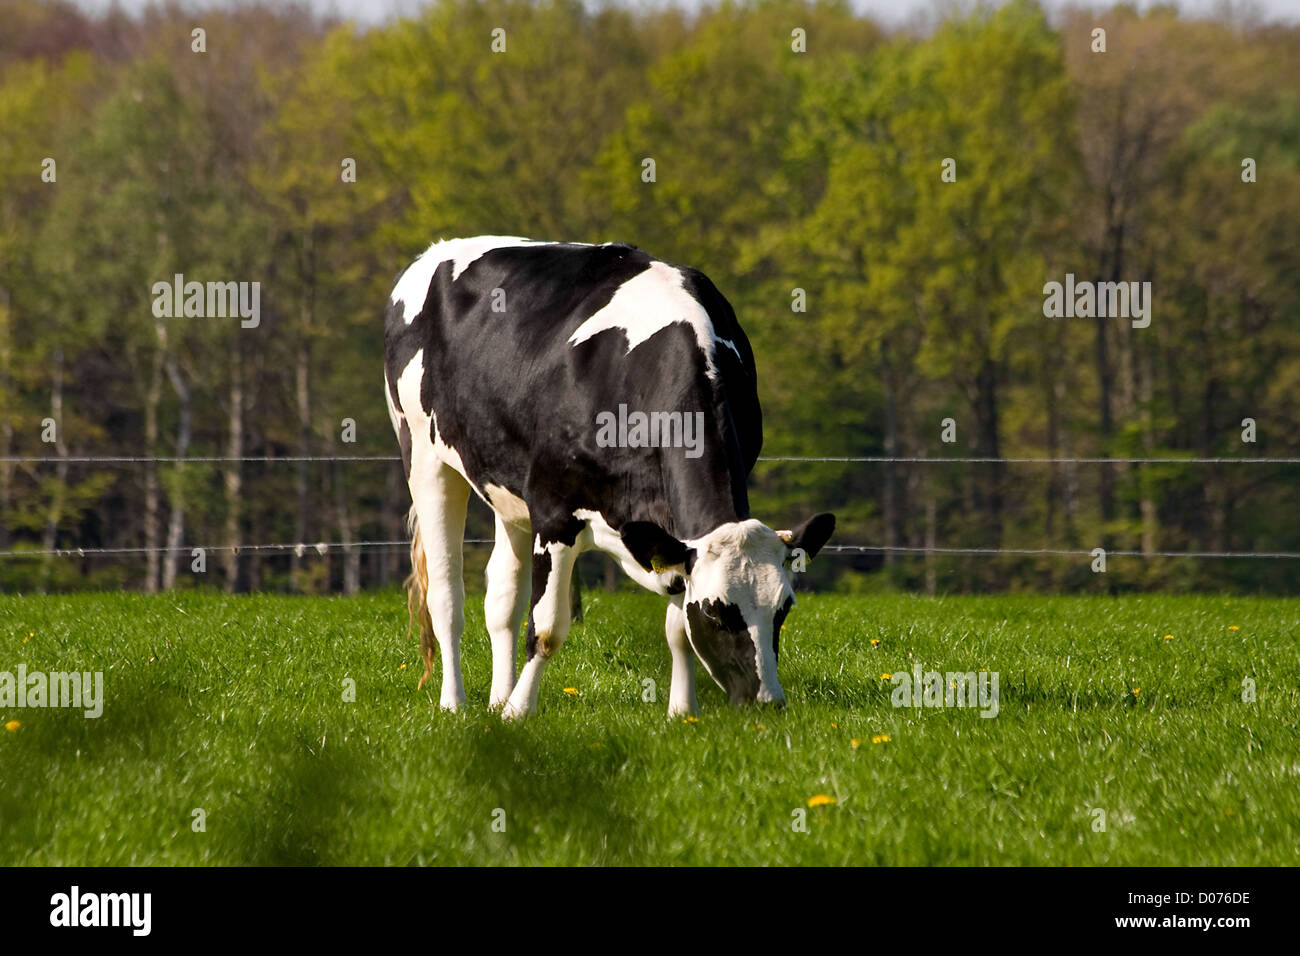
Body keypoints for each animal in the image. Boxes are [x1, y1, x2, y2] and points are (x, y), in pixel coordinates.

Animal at [383, 236, 835, 719]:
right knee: (446, 597)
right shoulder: (554, 512)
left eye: (783, 609)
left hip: (506, 490)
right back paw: (455, 702)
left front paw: (682, 711)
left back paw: (496, 699)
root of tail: (437, 249)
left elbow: (677, 626)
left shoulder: (669, 535)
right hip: (424, 455)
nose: (766, 701)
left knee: (501, 597)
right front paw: (521, 712)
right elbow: (546, 628)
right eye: (717, 612)